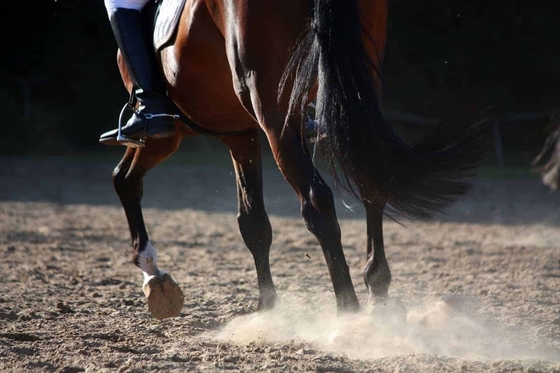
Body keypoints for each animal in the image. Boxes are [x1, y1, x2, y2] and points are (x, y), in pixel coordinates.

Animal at [107, 0, 488, 320]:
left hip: (267, 117)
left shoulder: (181, 132)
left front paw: (153, 273)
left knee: (316, 202)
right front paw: (268, 309)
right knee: (372, 181)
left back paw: (349, 315)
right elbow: (253, 222)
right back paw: (377, 292)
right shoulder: (239, 132)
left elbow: (124, 180)